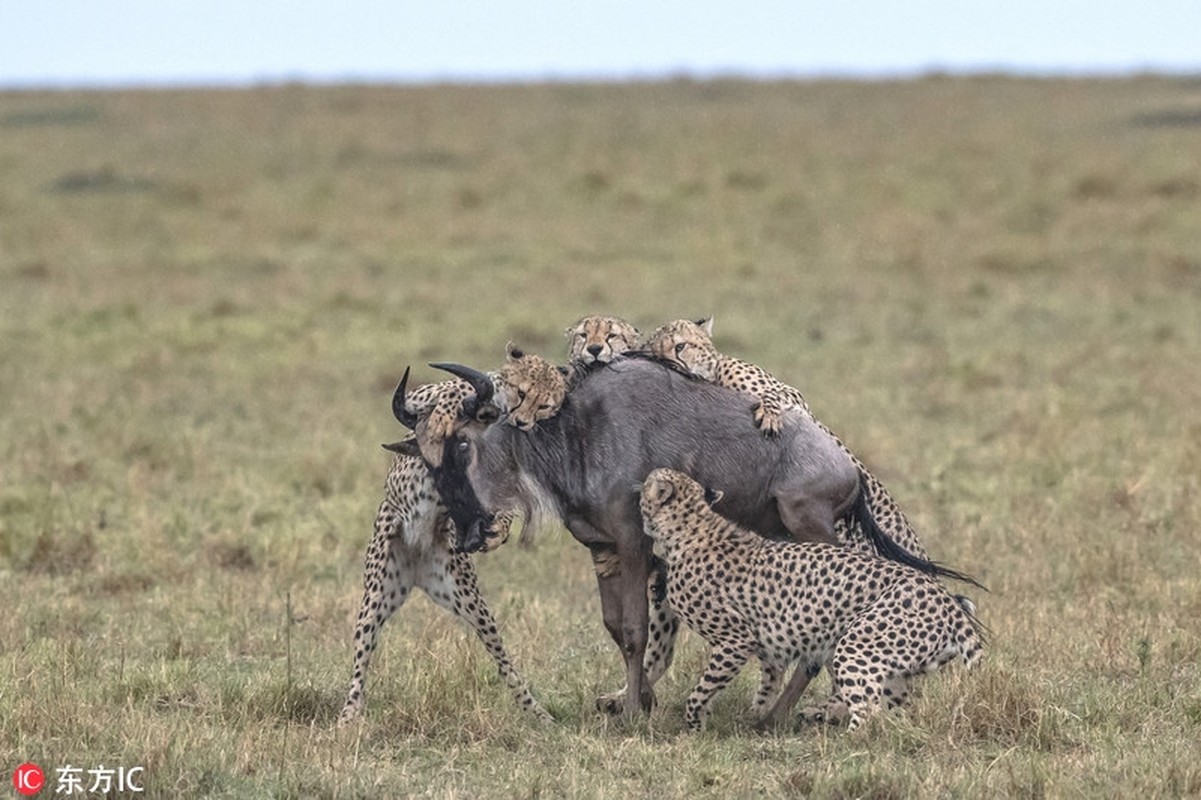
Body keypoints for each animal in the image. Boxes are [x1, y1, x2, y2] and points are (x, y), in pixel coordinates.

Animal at [333, 345, 566, 725]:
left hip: (468, 600)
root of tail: (416, 572)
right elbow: (439, 396)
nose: (471, 538)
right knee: (361, 656)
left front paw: (494, 530)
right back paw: (348, 716)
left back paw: (538, 713)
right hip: (376, 596)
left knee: (502, 658)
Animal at [638, 463, 984, 730]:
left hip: (855, 646)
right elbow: (768, 679)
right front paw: (756, 715)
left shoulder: (736, 640)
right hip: (895, 670)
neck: (693, 524)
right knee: (892, 709)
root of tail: (948, 602)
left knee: (867, 713)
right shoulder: (769, 637)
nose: (639, 481)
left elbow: (703, 687)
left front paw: (695, 723)